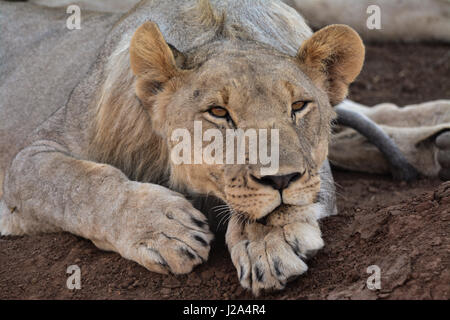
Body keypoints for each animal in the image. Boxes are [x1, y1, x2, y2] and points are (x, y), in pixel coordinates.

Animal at [0, 0, 448, 296]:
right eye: (218, 112)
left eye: (298, 107)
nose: (281, 179)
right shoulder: (35, 154)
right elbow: (81, 185)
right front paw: (164, 229)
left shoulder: (314, 170)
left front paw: (271, 242)